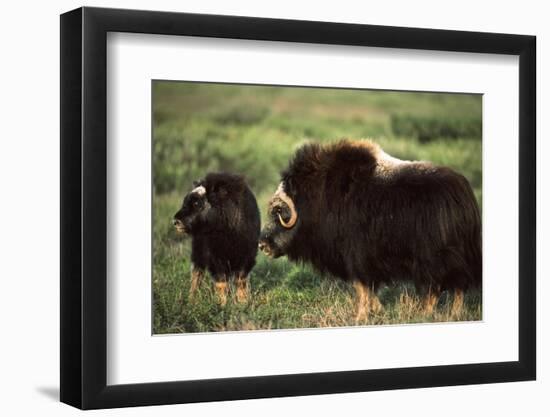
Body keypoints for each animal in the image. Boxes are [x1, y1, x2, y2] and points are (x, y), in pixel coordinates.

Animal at [175, 171, 264, 304]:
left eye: (197, 203)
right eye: (185, 201)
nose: (176, 221)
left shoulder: (247, 256)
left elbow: (241, 280)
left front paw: (243, 302)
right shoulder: (215, 258)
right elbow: (221, 281)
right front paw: (221, 303)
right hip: (198, 251)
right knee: (197, 273)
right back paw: (192, 299)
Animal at [260, 140, 480, 318]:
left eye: (279, 211)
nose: (262, 244)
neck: (317, 198)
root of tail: (463, 195)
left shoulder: (357, 256)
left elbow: (362, 287)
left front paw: (361, 316)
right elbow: (368, 289)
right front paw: (377, 310)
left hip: (435, 258)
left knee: (442, 286)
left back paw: (429, 314)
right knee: (455, 286)